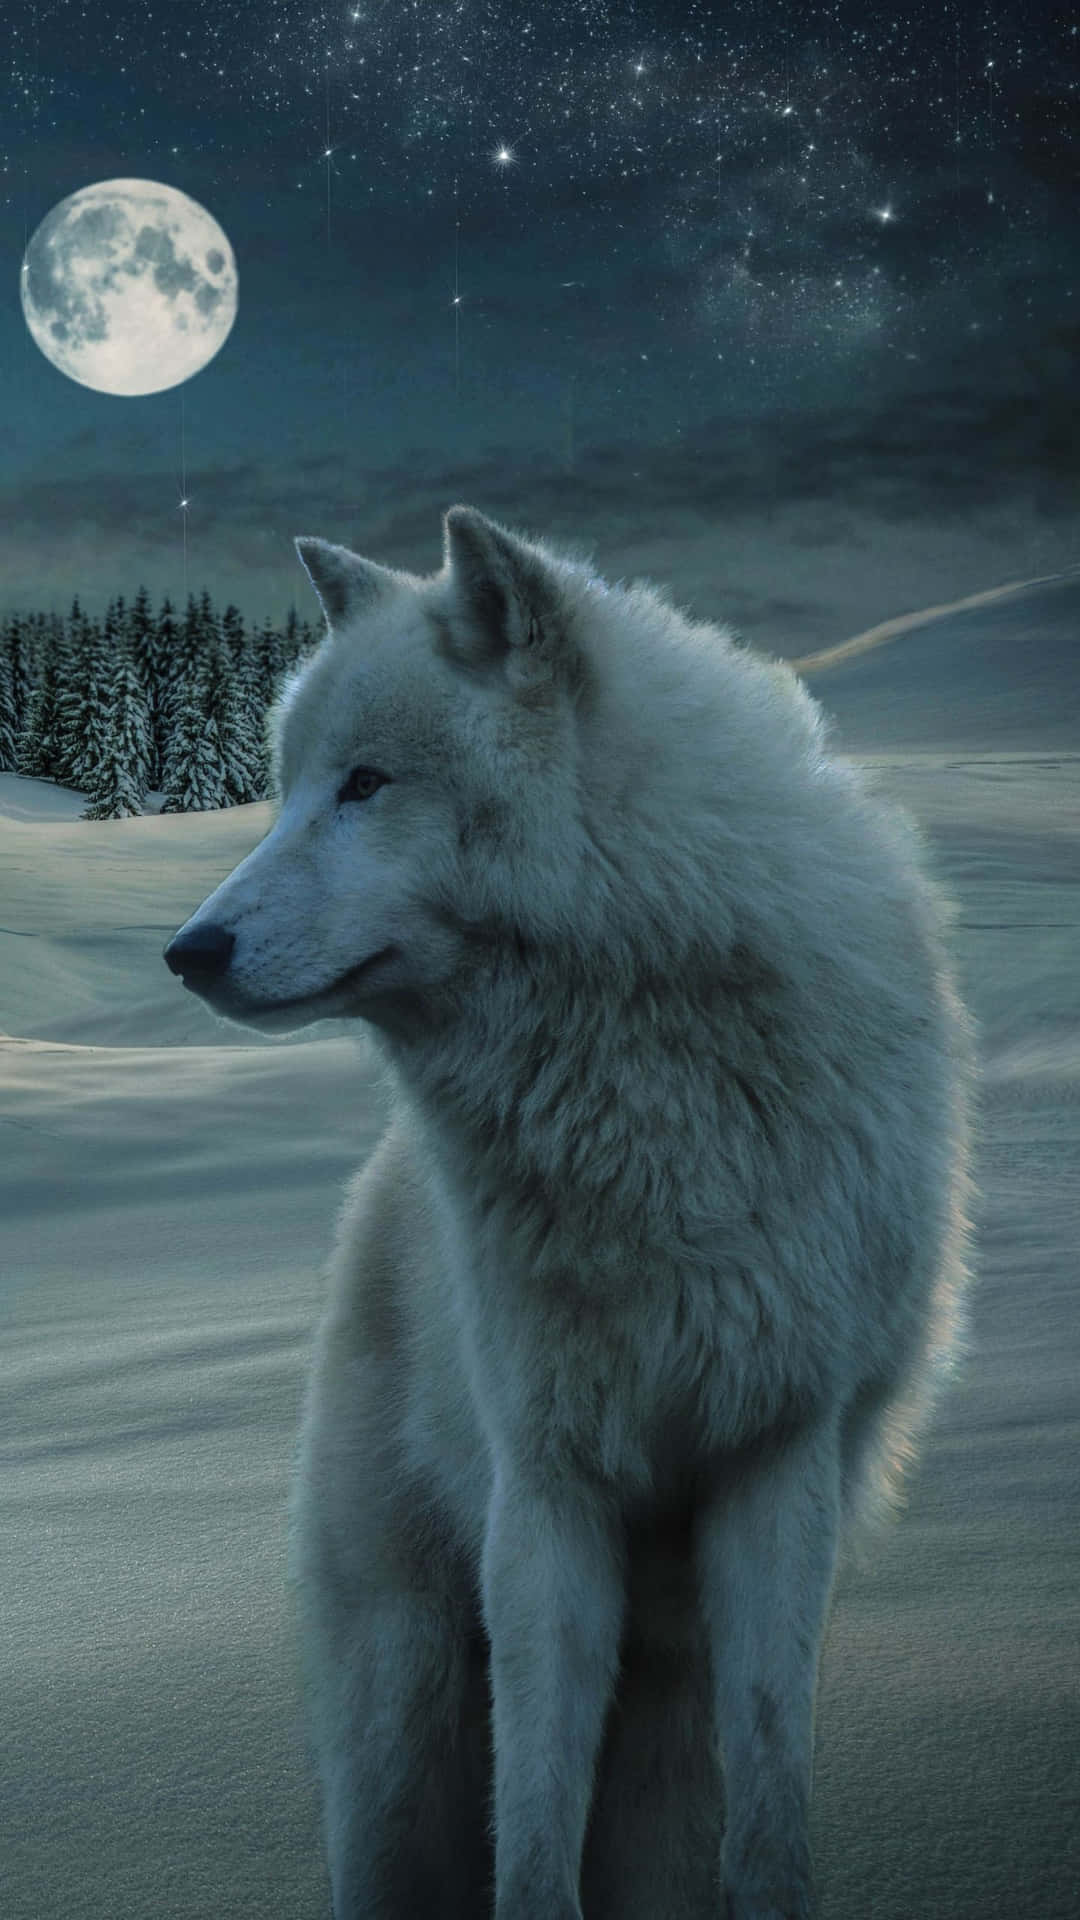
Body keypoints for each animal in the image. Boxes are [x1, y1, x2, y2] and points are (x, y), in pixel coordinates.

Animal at [164, 506, 976, 1920]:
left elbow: (770, 1802)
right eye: (289, 784)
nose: (188, 951)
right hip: (402, 1702)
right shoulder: (546, 1490)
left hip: (664, 1705)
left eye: (366, 784)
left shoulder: (779, 1455)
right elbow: (534, 1829)